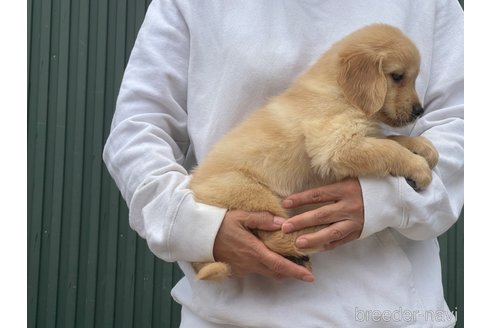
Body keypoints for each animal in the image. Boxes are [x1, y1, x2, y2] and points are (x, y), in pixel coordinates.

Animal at [187, 23, 438, 280]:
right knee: (278, 237)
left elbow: (393, 139)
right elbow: (389, 148)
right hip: (252, 194)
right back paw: (316, 228)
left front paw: (424, 149)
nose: (419, 111)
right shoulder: (335, 146)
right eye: (397, 76)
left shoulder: (359, 136)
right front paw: (419, 168)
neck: (339, 91)